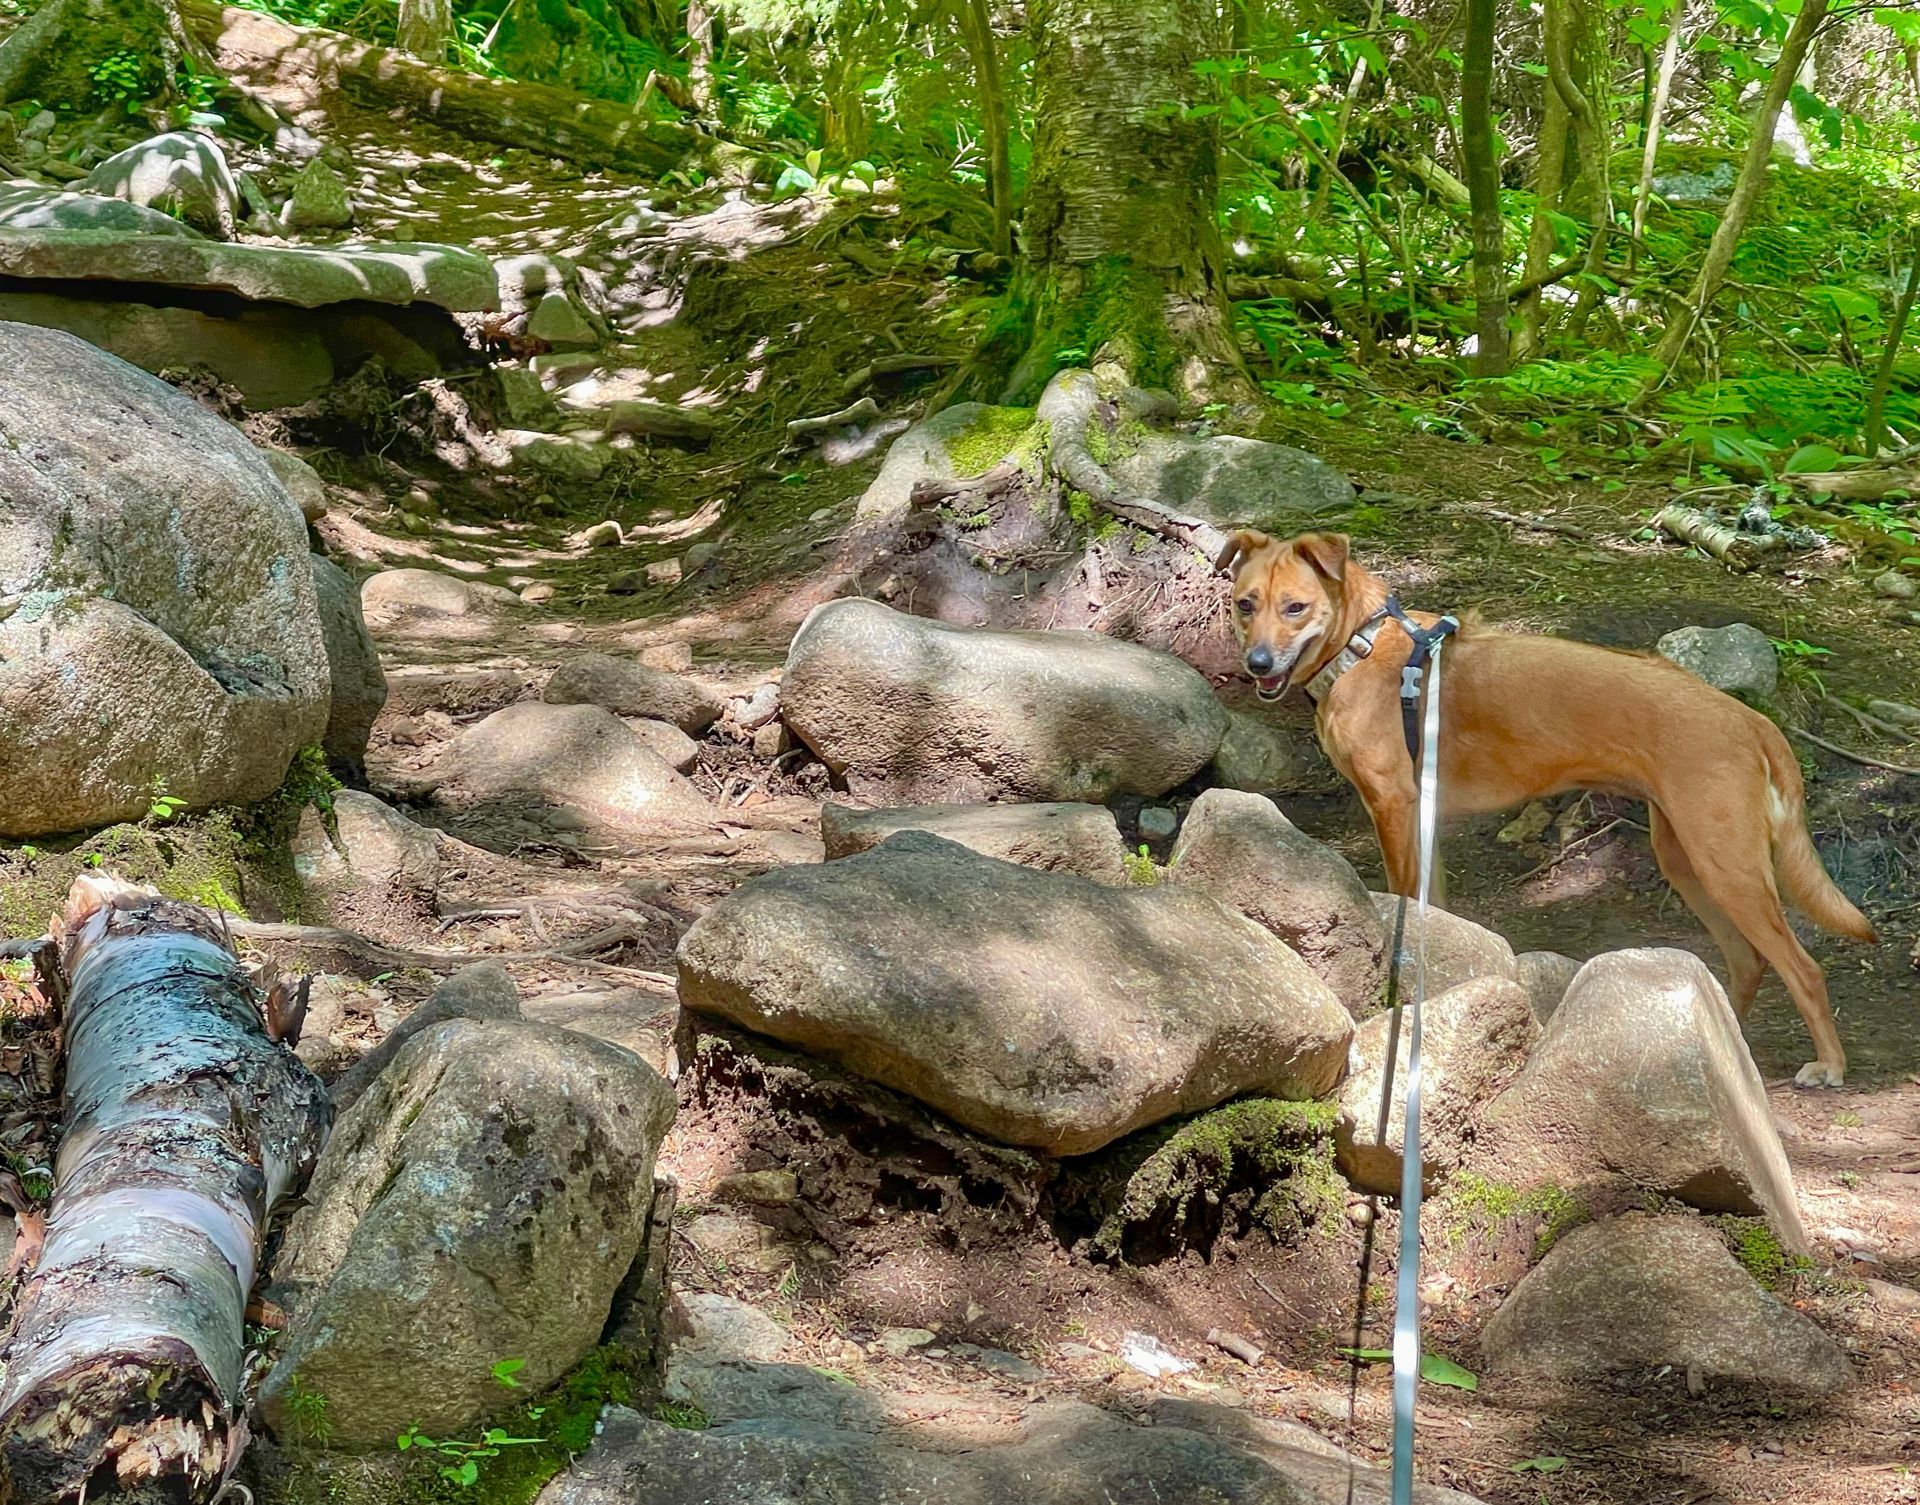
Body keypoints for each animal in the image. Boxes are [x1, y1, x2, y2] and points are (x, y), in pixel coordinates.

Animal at [1213, 525, 1873, 1082]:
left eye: (1295, 607)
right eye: (1246, 604)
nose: (1257, 664)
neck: (1362, 644)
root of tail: (1749, 718)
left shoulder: (1393, 810)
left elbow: (1405, 910)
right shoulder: (1423, 824)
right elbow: (1439, 917)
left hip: (1726, 864)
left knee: (1802, 968)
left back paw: (1829, 1066)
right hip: (1687, 860)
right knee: (1747, 961)